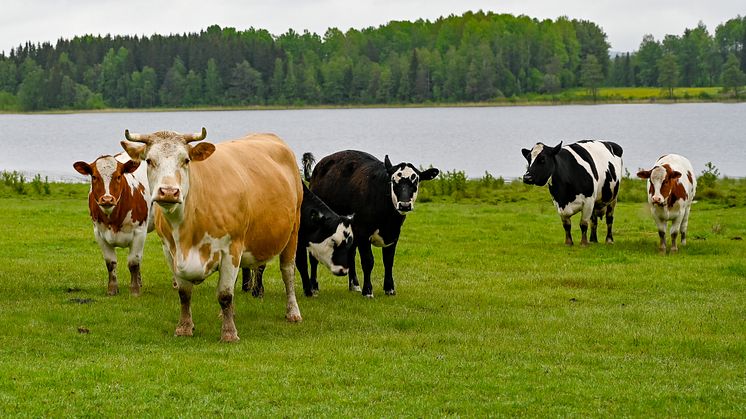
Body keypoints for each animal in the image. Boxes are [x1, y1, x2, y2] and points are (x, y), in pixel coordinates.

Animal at [74, 153, 153, 296]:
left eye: (118, 176)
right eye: (94, 177)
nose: (107, 199)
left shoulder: (139, 231)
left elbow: (133, 262)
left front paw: (134, 290)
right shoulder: (99, 233)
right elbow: (110, 263)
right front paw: (112, 289)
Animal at [120, 129, 300, 344]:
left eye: (186, 160)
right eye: (149, 160)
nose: (169, 192)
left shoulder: (232, 248)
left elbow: (225, 294)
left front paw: (229, 333)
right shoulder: (169, 251)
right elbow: (184, 293)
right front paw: (184, 327)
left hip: (293, 230)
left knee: (287, 272)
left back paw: (293, 312)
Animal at [306, 151, 438, 298]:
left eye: (416, 182)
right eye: (393, 181)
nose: (404, 205)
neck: (388, 220)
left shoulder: (394, 234)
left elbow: (388, 261)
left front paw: (389, 288)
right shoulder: (363, 233)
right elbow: (368, 261)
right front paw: (368, 291)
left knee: (350, 254)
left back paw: (354, 285)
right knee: (313, 256)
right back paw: (314, 287)